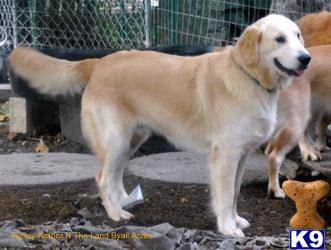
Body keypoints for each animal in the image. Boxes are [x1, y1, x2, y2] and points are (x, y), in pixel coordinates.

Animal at [7, 14, 312, 237]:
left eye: (298, 35)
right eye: (279, 39)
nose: (306, 58)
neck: (249, 77)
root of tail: (100, 61)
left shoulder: (243, 154)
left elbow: (235, 192)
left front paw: (236, 220)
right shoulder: (225, 156)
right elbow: (225, 195)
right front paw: (227, 228)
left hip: (131, 141)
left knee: (114, 176)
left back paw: (121, 205)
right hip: (116, 140)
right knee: (102, 177)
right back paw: (115, 214)